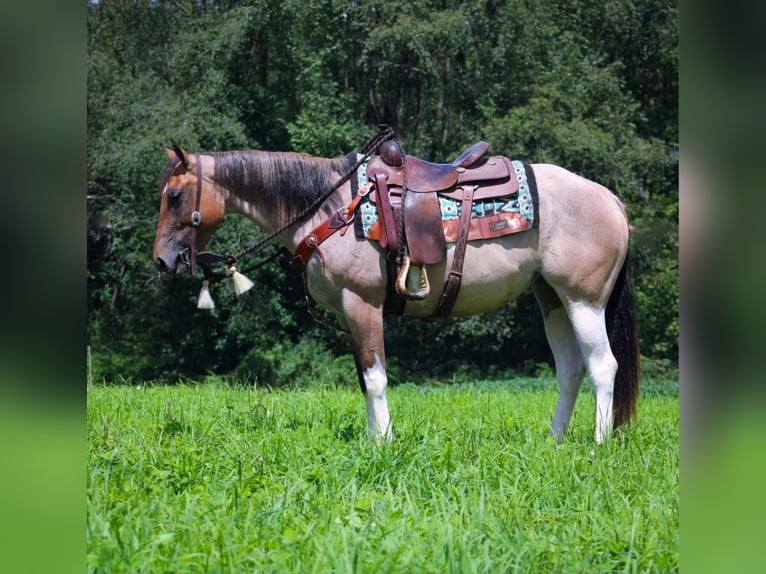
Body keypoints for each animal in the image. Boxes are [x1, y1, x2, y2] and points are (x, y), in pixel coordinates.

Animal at [152, 137, 640, 444]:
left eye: (174, 196)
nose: (161, 260)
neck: (330, 208)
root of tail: (611, 200)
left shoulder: (362, 304)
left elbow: (375, 377)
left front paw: (383, 442)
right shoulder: (349, 315)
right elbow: (364, 378)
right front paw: (373, 438)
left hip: (584, 299)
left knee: (603, 366)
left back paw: (598, 444)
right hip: (552, 300)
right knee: (571, 371)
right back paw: (555, 440)